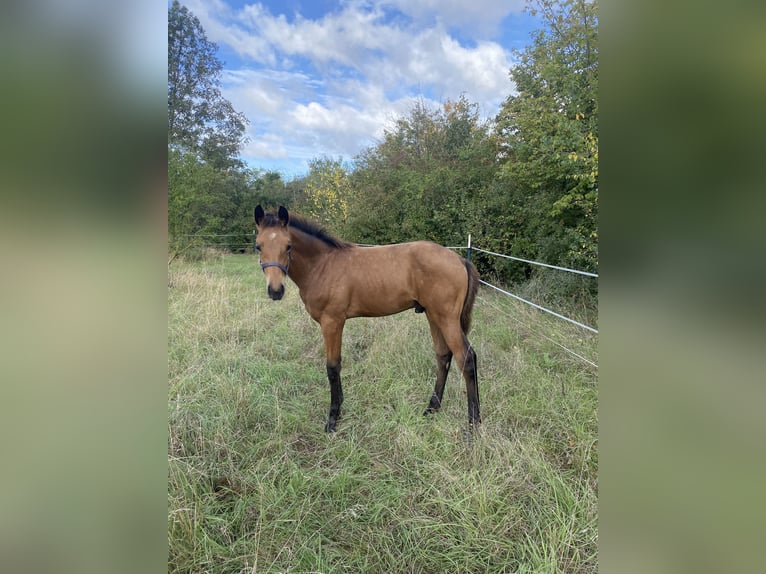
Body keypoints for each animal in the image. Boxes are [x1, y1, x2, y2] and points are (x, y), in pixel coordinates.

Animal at [256, 205, 480, 434]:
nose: (275, 291)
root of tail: (460, 260)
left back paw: (473, 424)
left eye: (288, 246)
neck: (322, 265)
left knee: (467, 359)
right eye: (258, 246)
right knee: (443, 356)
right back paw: (431, 409)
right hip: (433, 316)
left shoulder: (332, 322)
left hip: (447, 319)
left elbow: (332, 367)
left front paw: (333, 418)